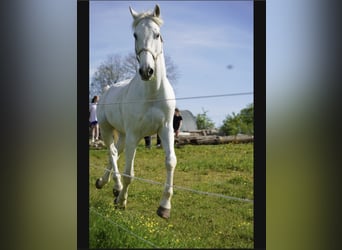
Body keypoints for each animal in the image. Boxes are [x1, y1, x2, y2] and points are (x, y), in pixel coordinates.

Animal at [95, 4, 178, 219]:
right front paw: (121, 201)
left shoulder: (166, 130)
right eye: (135, 35)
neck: (152, 94)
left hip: (123, 135)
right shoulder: (135, 134)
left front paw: (164, 207)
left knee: (115, 153)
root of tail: (107, 89)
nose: (146, 71)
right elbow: (129, 174)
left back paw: (104, 182)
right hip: (107, 130)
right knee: (112, 152)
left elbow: (170, 162)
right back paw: (115, 187)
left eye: (157, 34)